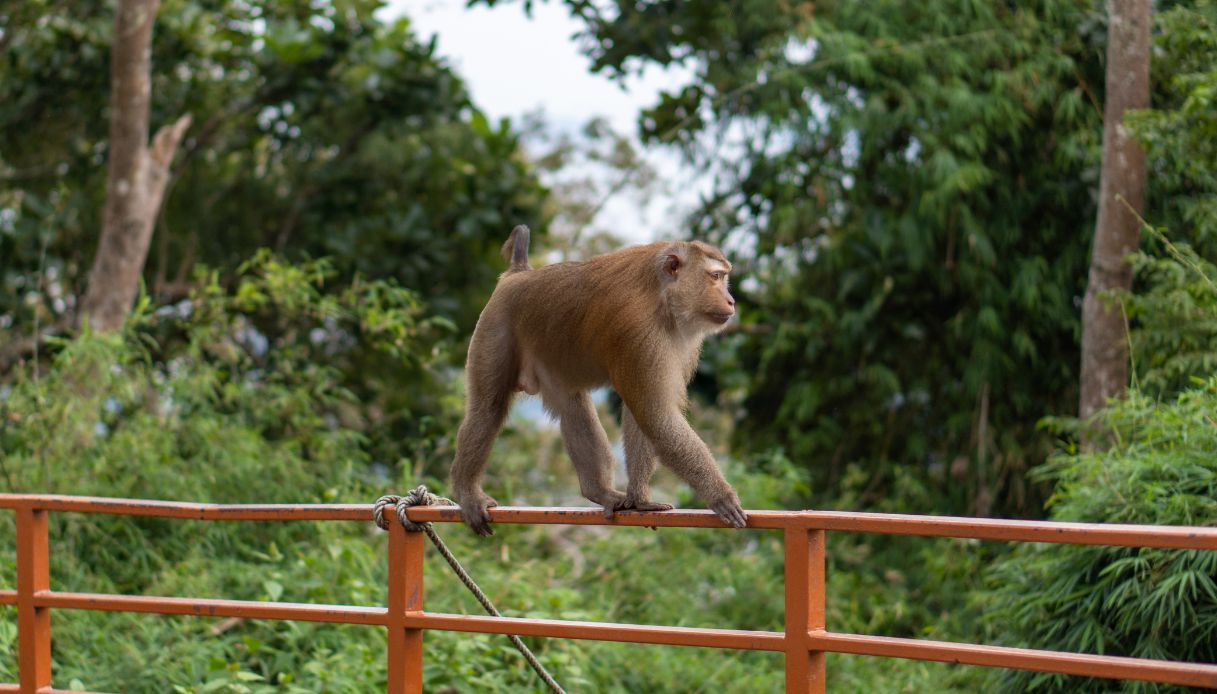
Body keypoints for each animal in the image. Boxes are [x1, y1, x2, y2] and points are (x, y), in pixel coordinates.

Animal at [452, 224, 744, 533]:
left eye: (723, 277)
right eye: (715, 276)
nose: (731, 301)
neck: (663, 298)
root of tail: (518, 274)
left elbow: (643, 415)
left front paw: (640, 499)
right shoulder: (639, 332)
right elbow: (656, 417)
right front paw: (720, 495)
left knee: (572, 408)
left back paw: (598, 491)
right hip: (494, 328)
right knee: (488, 408)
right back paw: (466, 492)